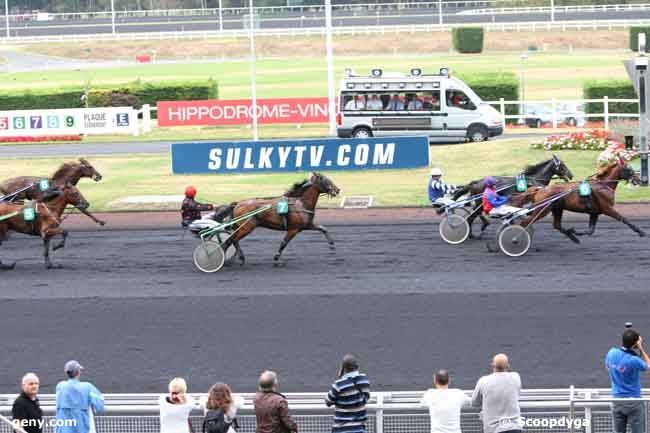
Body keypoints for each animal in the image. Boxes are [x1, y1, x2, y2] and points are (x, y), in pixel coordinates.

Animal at [512, 159, 644, 243]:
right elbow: (624, 219)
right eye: (629, 169)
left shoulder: (594, 213)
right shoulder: (607, 208)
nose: (639, 179)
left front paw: (575, 232)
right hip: (543, 210)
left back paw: (573, 237)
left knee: (556, 225)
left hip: (557, 209)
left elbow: (590, 231)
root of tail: (540, 189)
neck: (603, 185)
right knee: (525, 222)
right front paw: (641, 231)